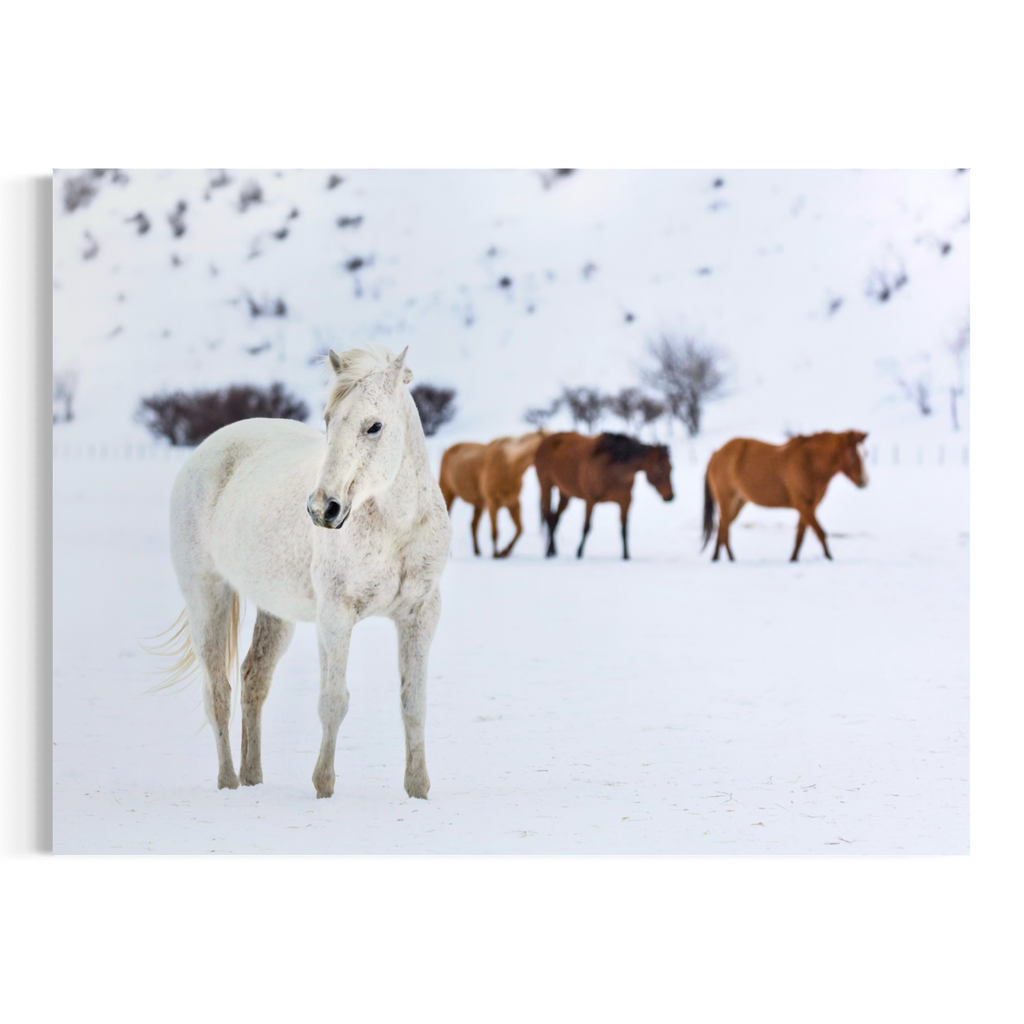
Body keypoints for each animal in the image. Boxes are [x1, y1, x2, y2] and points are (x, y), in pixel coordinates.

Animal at [161, 345, 451, 799]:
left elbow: (413, 704)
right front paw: (324, 786)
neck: (395, 528)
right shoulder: (335, 617)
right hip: (207, 596)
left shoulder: (420, 614)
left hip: (275, 611)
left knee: (254, 679)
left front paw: (418, 790)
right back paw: (229, 783)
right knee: (218, 693)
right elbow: (333, 702)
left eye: (374, 426)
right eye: (329, 420)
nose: (322, 509)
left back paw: (253, 777)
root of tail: (208, 447)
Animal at [439, 429, 547, 558]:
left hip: (479, 504)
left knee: (473, 524)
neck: (509, 467)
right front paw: (496, 554)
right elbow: (495, 532)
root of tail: (447, 450)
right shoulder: (493, 504)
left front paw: (505, 552)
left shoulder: (513, 504)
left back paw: (477, 551)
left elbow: (520, 529)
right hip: (448, 493)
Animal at [534, 431, 674, 560]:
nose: (671, 496)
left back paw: (553, 551)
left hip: (565, 493)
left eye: (671, 468)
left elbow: (624, 529)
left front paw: (626, 556)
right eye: (660, 469)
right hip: (546, 486)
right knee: (548, 516)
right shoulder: (590, 500)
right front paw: (579, 553)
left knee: (555, 518)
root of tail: (544, 441)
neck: (613, 470)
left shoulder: (625, 501)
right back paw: (549, 552)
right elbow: (586, 527)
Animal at [702, 430, 869, 562]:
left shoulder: (810, 506)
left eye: (865, 454)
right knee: (724, 527)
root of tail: (716, 454)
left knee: (722, 526)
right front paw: (829, 558)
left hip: (738, 501)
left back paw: (717, 557)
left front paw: (793, 559)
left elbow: (800, 536)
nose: (864, 481)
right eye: (852, 454)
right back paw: (730, 558)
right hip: (726, 499)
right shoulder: (803, 504)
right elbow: (820, 533)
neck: (810, 463)